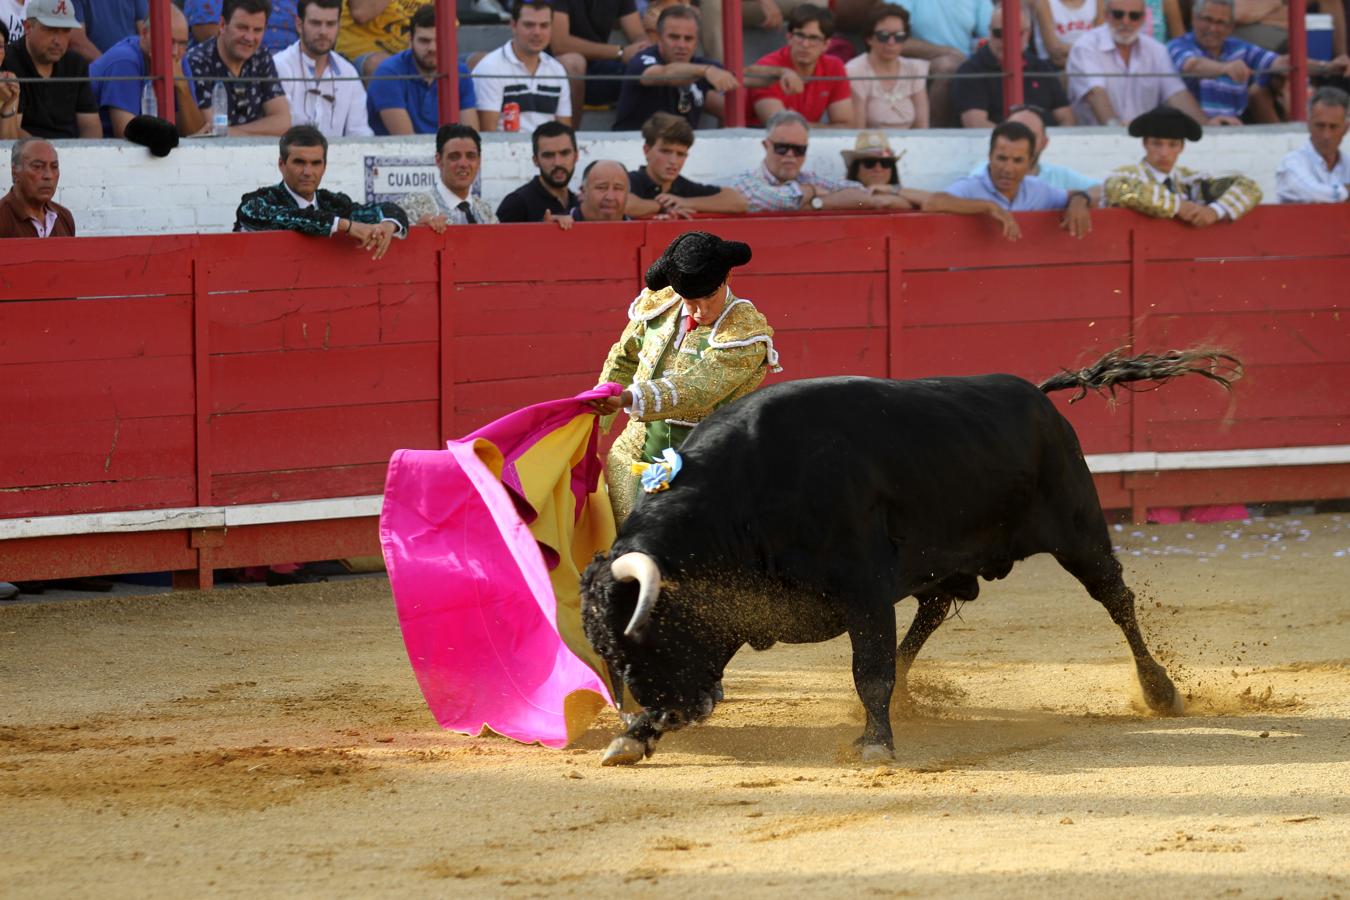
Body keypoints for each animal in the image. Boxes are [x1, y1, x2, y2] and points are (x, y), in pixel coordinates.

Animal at [580, 348, 1242, 766]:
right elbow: (875, 662)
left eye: (650, 631)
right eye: (608, 649)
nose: (673, 711)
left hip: (1080, 532)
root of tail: (1037, 394)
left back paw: (1160, 691)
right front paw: (632, 738)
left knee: (1116, 600)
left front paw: (876, 744)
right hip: (945, 563)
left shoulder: (864, 591)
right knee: (935, 609)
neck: (743, 494)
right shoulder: (749, 608)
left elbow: (869, 668)